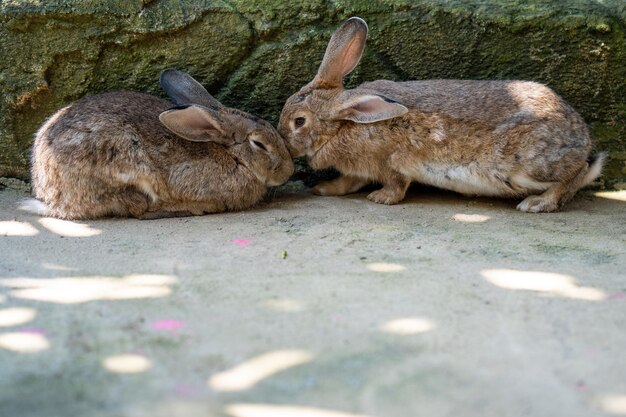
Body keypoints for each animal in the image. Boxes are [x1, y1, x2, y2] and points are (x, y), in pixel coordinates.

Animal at [28, 68, 292, 219]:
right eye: (259, 144)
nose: (289, 172)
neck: (233, 155)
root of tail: (51, 199)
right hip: (125, 161)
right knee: (137, 208)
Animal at [276, 16, 600, 213]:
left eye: (299, 121)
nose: (283, 143)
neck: (345, 124)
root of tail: (583, 140)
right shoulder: (356, 169)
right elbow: (348, 182)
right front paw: (323, 189)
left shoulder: (391, 162)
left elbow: (396, 184)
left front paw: (380, 198)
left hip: (530, 165)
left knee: (575, 174)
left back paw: (537, 203)